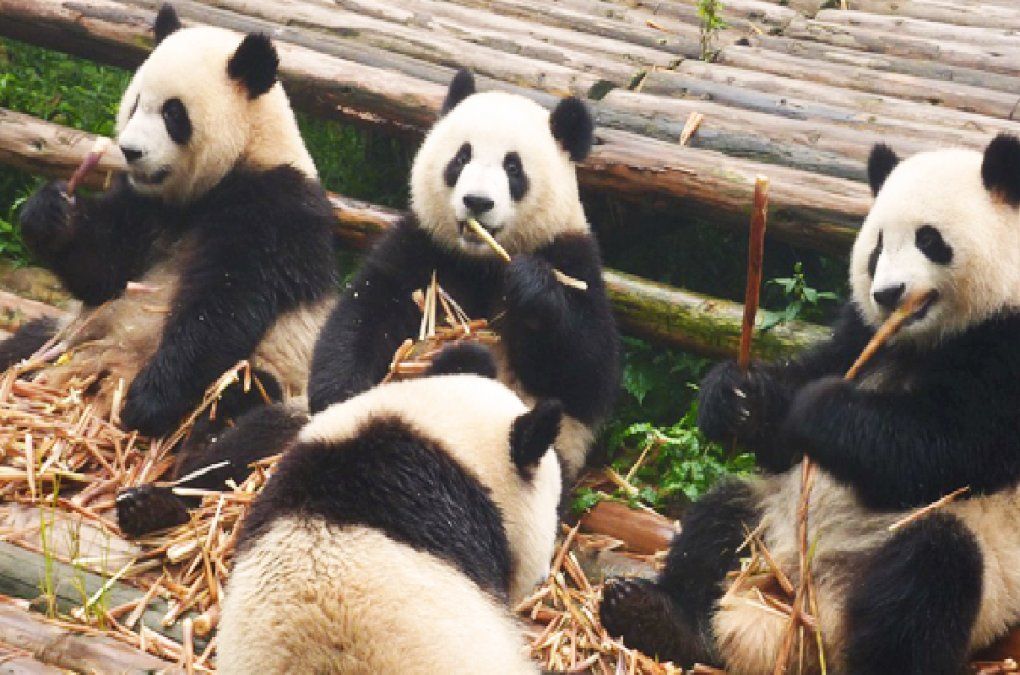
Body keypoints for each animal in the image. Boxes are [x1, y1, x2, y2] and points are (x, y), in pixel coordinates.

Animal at [1, 6, 338, 535]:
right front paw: (51, 214)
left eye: (174, 114)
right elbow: (104, 270)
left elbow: (224, 304)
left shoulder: (274, 210)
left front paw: (146, 402)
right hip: (65, 340)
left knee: (244, 424)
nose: (130, 151)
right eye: (136, 102)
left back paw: (158, 503)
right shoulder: (143, 207)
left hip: (282, 380)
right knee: (24, 345)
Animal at [308, 69, 620, 483]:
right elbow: (364, 314)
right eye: (461, 156)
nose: (477, 202)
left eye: (513, 167)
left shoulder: (573, 257)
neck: (480, 261)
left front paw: (529, 284)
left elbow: (587, 371)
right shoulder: (422, 248)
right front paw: (340, 396)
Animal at [599, 133, 1020, 675]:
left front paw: (816, 409)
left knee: (928, 578)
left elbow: (944, 446)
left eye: (930, 240)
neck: (923, 341)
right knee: (718, 517)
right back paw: (660, 618)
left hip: (981, 569)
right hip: (768, 519)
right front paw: (738, 397)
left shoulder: (1008, 352)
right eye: (876, 246)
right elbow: (809, 383)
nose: (888, 294)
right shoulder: (861, 333)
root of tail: (803, 614)